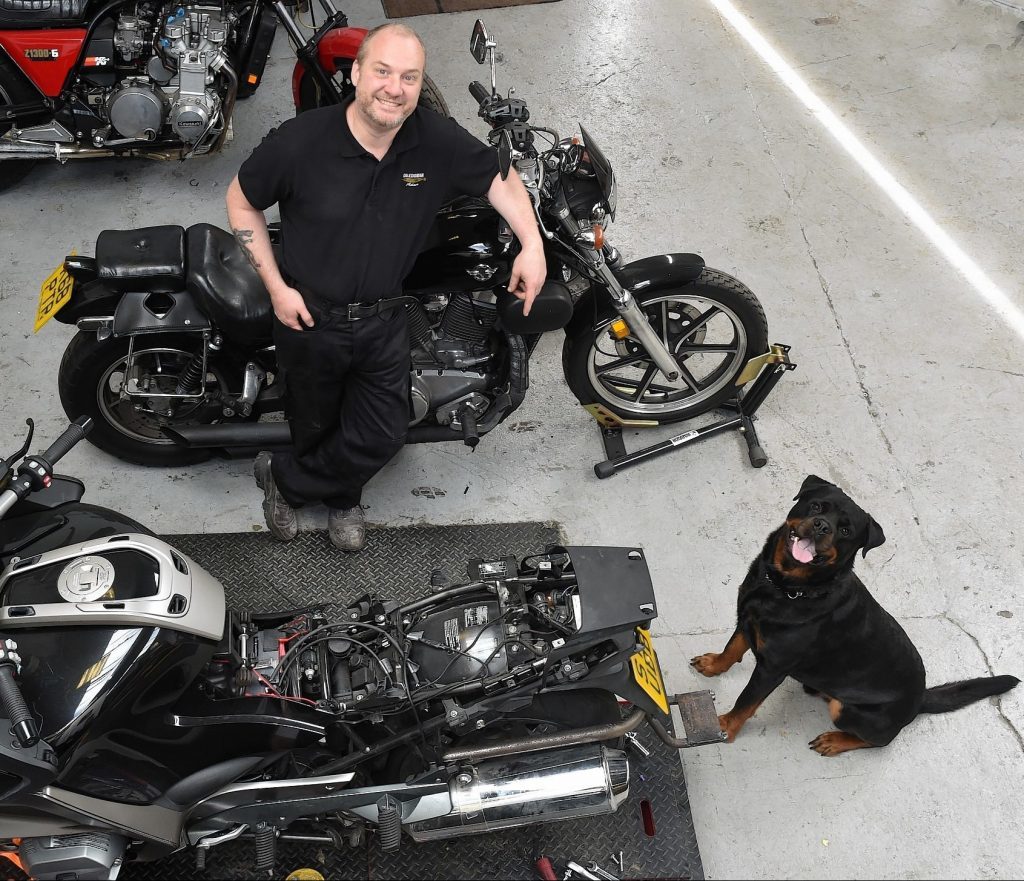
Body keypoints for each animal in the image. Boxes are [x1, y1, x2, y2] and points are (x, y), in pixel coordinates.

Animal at [688, 475, 1015, 758]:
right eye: (816, 507)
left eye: (845, 531)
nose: (821, 526)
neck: (788, 588)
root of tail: (920, 698)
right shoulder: (747, 619)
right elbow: (732, 648)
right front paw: (713, 664)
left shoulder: (771, 668)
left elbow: (746, 700)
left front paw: (723, 726)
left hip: (846, 710)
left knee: (879, 740)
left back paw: (835, 741)